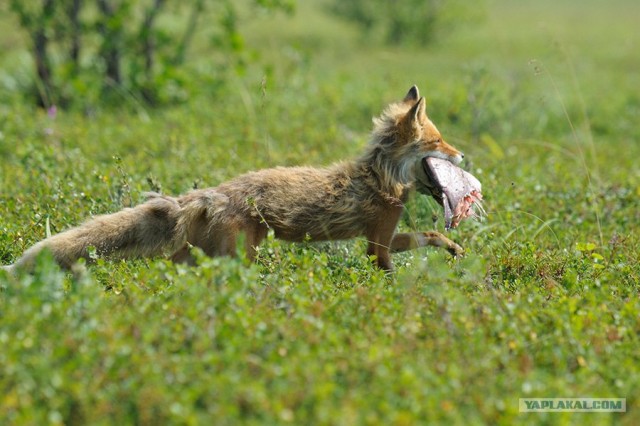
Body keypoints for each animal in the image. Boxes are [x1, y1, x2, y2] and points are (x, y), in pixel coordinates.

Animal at [3, 85, 464, 272]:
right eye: (439, 141)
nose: (463, 155)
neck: (380, 176)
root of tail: (210, 194)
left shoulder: (381, 235)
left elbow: (429, 235)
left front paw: (454, 247)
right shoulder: (377, 243)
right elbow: (388, 272)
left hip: (204, 253)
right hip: (239, 255)